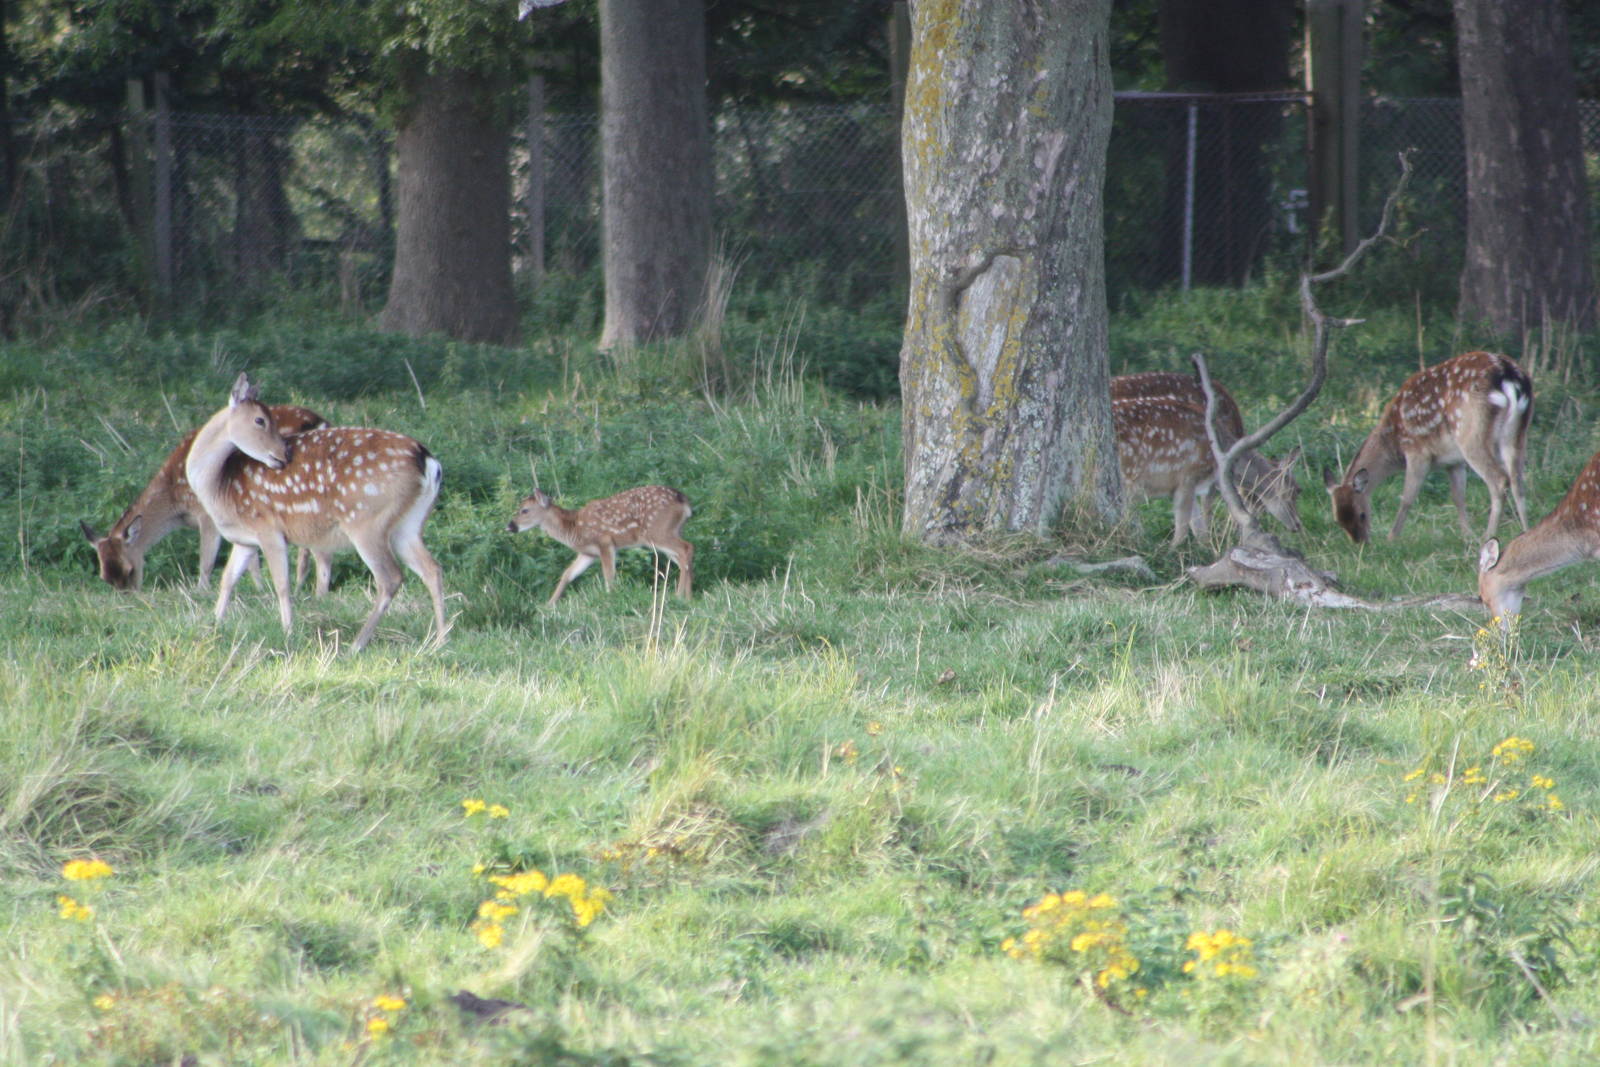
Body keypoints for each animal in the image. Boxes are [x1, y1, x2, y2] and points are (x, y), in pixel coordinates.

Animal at [82, 406, 333, 593]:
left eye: (129, 570)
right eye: (104, 577)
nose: (131, 598)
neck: (176, 503)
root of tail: (320, 421)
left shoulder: (207, 514)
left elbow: (207, 559)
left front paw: (201, 592)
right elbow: (251, 559)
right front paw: (261, 589)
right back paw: (301, 587)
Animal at [184, 373, 448, 652]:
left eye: (270, 419)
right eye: (260, 420)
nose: (283, 455)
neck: (219, 486)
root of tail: (429, 462)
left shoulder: (268, 528)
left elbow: (282, 584)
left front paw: (288, 631)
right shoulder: (246, 539)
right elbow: (228, 579)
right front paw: (214, 624)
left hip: (366, 520)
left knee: (390, 577)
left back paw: (356, 644)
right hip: (408, 524)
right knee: (431, 568)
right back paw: (440, 639)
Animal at [507, 485, 694, 605]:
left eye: (524, 510)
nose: (510, 525)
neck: (574, 528)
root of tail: (683, 500)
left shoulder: (605, 542)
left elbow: (609, 576)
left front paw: (609, 599)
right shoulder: (589, 553)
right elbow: (568, 574)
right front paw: (549, 605)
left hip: (657, 531)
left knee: (686, 548)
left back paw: (679, 596)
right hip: (671, 532)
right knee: (683, 556)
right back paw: (688, 596)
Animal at [1113, 394, 1302, 545]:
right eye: (1292, 492)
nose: (1298, 525)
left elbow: (1201, 533)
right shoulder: (1187, 476)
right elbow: (1182, 532)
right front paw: (1171, 552)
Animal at [1325, 350, 1531, 544]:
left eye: (1362, 514)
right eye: (1337, 520)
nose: (1361, 543)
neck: (1394, 442)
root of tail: (1506, 374)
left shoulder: (1417, 451)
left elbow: (1407, 498)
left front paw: (1392, 537)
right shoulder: (1453, 462)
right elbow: (1458, 497)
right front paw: (1467, 535)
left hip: (1470, 434)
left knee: (1499, 480)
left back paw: (1488, 536)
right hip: (1517, 434)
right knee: (1518, 482)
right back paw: (1525, 532)